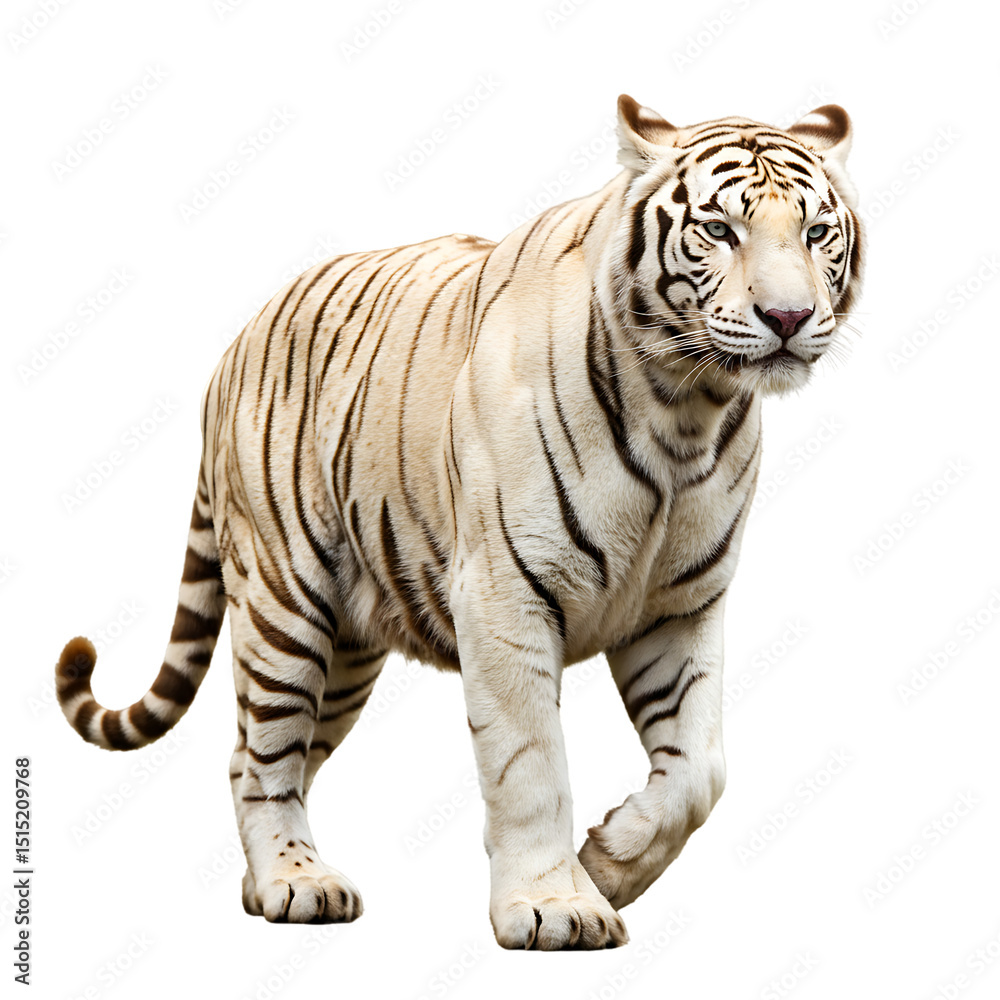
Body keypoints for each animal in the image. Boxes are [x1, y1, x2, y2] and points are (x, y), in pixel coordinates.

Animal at [55, 94, 863, 950]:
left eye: (816, 232)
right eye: (719, 229)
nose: (788, 316)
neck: (686, 409)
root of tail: (236, 343)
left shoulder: (680, 606)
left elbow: (700, 769)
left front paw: (608, 864)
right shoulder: (507, 593)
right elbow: (530, 761)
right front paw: (555, 904)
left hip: (346, 651)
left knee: (260, 755)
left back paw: (261, 882)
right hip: (284, 605)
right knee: (264, 756)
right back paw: (295, 883)